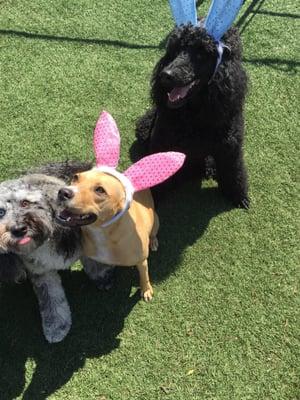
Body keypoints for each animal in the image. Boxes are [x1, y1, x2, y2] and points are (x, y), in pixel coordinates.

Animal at [0, 162, 111, 344]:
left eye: (25, 203)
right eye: (1, 212)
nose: (19, 229)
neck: (43, 242)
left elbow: (95, 262)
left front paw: (103, 276)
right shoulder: (41, 273)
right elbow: (52, 299)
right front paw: (56, 327)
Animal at [55, 111, 184, 302]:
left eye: (100, 190)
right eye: (76, 177)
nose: (63, 192)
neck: (101, 232)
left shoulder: (141, 261)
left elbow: (144, 276)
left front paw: (146, 290)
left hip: (156, 221)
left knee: (154, 233)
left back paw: (153, 241)